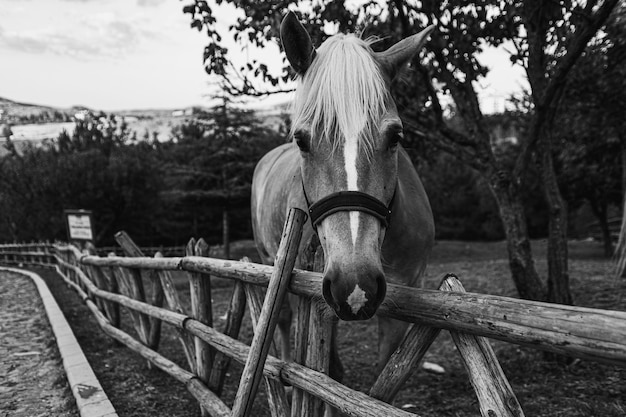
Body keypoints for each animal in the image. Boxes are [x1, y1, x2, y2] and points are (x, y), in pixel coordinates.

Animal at [249, 9, 434, 386]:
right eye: (301, 140)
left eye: (396, 136)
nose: (355, 284)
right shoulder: (315, 292)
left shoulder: (402, 294)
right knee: (282, 320)